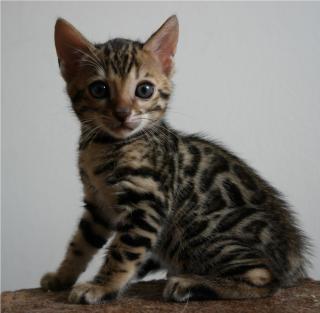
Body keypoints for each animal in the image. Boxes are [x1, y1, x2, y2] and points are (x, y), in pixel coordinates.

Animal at [40, 15, 308, 302]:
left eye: (144, 90)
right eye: (99, 89)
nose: (123, 113)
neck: (104, 145)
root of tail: (293, 259)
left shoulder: (147, 201)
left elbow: (123, 253)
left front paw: (103, 287)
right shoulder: (97, 205)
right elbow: (79, 244)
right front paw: (61, 277)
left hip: (198, 229)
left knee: (264, 278)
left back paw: (190, 283)